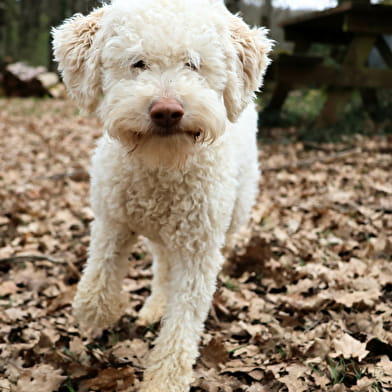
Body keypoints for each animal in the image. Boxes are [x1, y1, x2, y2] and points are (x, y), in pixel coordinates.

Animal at [52, 1, 272, 390]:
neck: (162, 166)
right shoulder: (112, 217)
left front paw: (164, 379)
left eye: (193, 64)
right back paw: (154, 305)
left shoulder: (199, 249)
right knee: (162, 264)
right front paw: (97, 312)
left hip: (234, 212)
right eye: (138, 62)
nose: (167, 111)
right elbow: (99, 273)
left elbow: (183, 323)